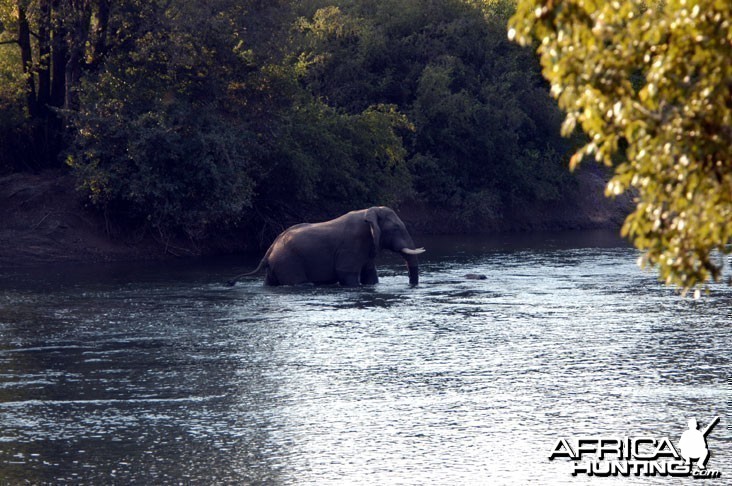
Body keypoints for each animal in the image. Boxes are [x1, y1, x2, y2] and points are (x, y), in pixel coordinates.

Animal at [227, 206, 424, 288]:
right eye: (396, 228)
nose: (411, 285)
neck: (370, 211)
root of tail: (269, 250)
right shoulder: (351, 246)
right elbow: (347, 275)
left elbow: (370, 276)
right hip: (288, 262)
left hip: (277, 265)